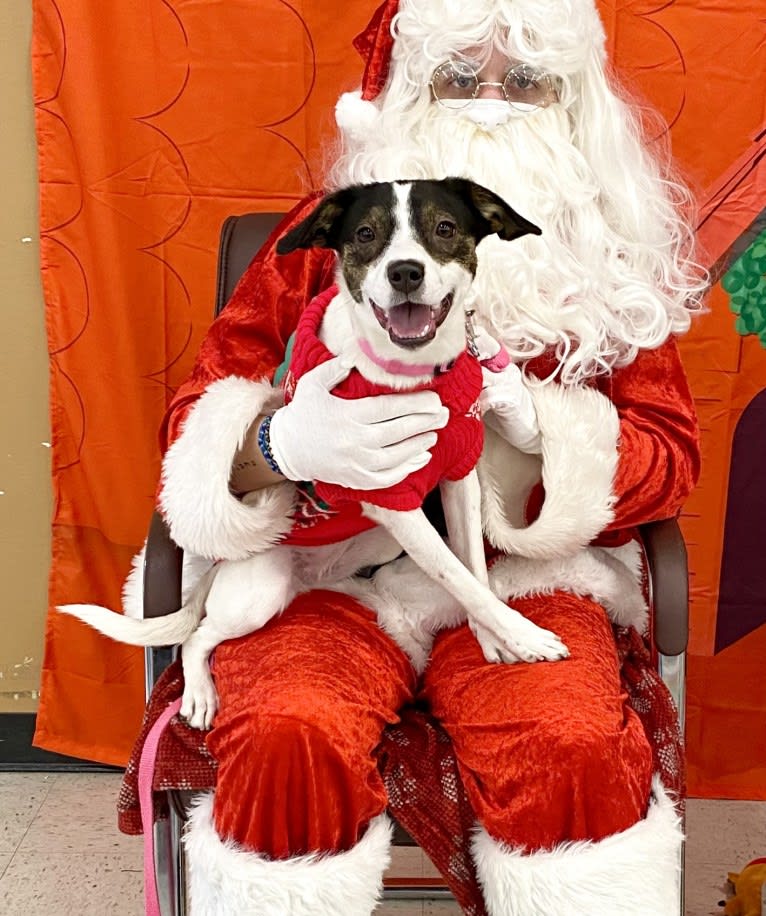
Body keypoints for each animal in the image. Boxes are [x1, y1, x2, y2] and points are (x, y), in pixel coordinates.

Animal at [61, 179, 568, 728]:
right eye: (365, 233)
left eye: (445, 227)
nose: (405, 272)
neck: (413, 375)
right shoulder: (393, 500)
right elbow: (457, 575)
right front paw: (526, 636)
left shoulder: (458, 480)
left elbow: (472, 566)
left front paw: (494, 638)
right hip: (259, 592)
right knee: (197, 638)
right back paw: (198, 693)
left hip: (372, 547)